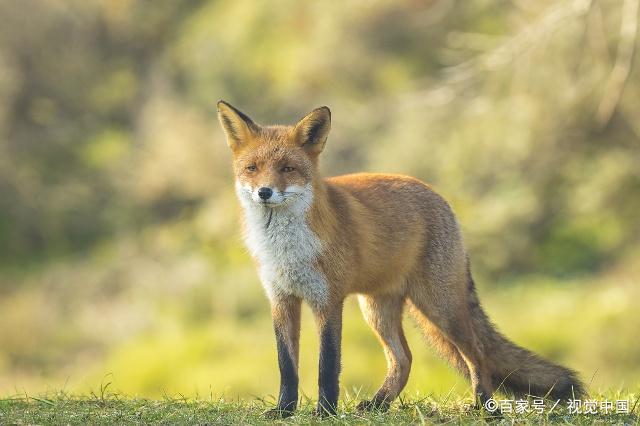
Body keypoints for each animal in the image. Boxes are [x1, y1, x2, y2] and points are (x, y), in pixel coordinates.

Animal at [216, 100, 584, 416]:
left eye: (288, 168)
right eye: (252, 168)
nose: (264, 192)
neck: (286, 248)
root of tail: (438, 196)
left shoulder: (328, 300)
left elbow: (327, 365)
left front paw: (326, 412)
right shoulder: (281, 299)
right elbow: (287, 366)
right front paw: (284, 410)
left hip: (440, 307)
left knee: (477, 353)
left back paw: (484, 406)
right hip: (377, 310)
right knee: (403, 359)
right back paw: (378, 404)